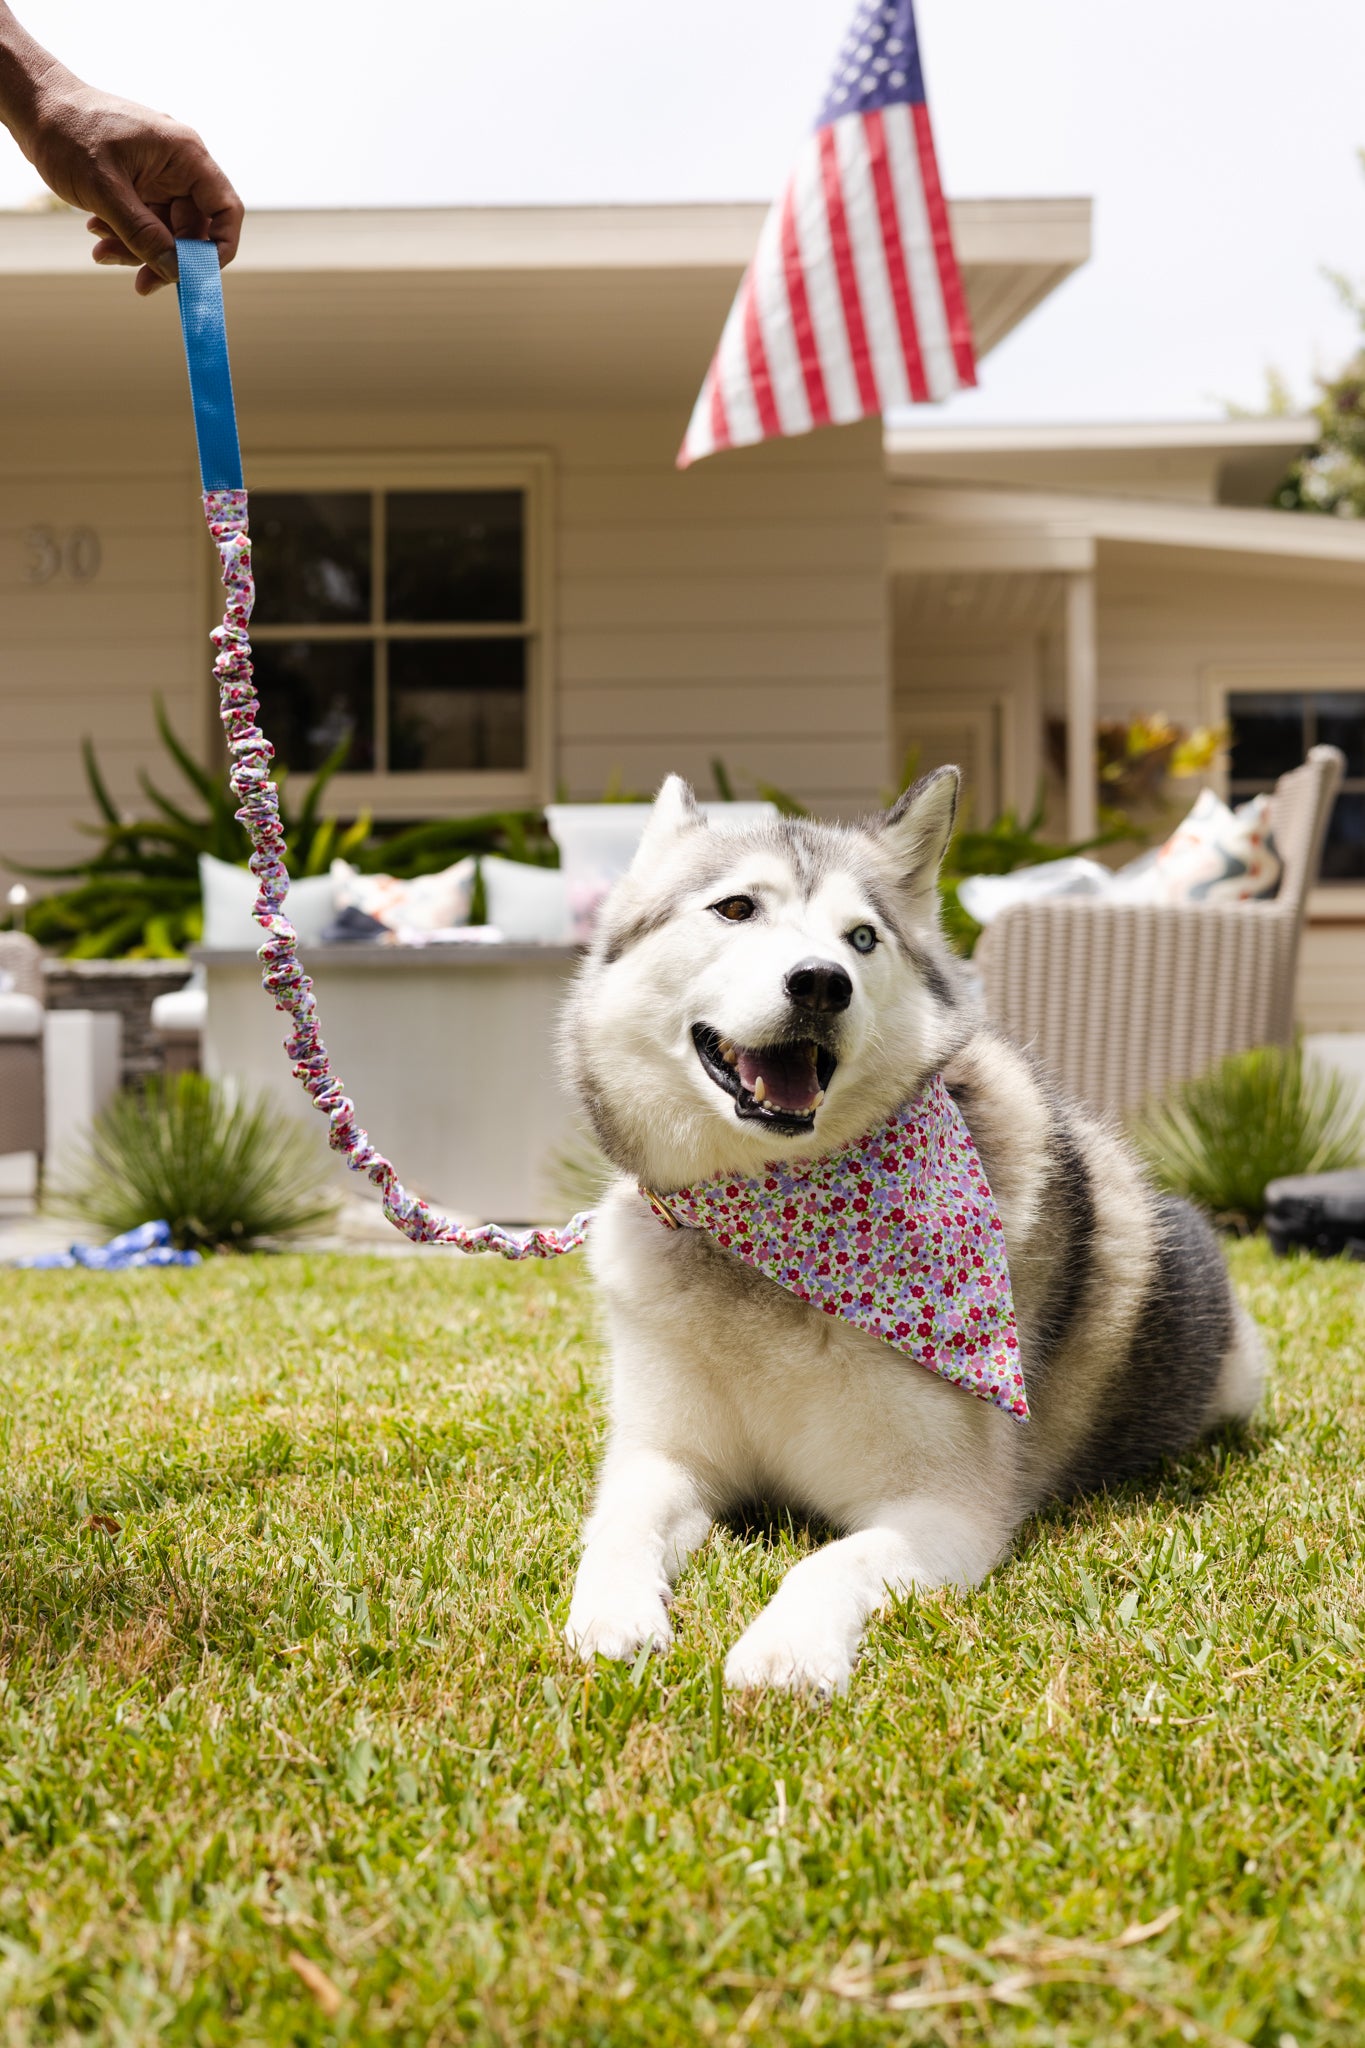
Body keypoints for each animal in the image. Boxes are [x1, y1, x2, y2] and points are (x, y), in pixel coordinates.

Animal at [560, 770, 1268, 1695]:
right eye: (736, 908)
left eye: (860, 937)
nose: (820, 983)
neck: (772, 1237)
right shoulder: (663, 1457)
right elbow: (618, 1524)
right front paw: (611, 1615)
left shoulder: (944, 1511)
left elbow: (825, 1561)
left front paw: (786, 1652)